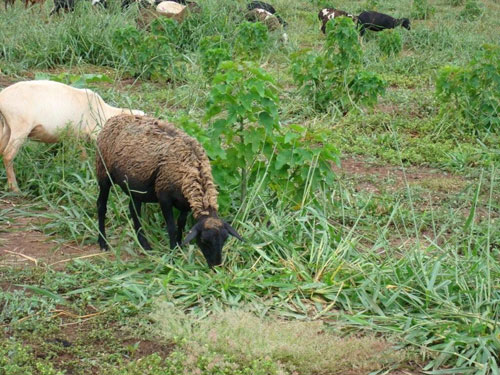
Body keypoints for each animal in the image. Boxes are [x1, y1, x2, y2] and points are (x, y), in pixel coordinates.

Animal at [0, 79, 145, 191]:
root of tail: (2, 97)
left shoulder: (76, 136)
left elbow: (82, 154)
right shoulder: (93, 133)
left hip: (6, 127)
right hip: (20, 125)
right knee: (8, 154)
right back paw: (15, 188)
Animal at [96, 114, 244, 268]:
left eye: (224, 239)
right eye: (204, 241)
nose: (216, 266)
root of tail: (114, 118)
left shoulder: (185, 202)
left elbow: (181, 223)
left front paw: (179, 246)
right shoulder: (164, 197)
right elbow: (171, 227)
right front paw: (173, 253)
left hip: (135, 186)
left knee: (134, 209)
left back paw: (145, 245)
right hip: (103, 171)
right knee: (101, 205)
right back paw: (103, 242)